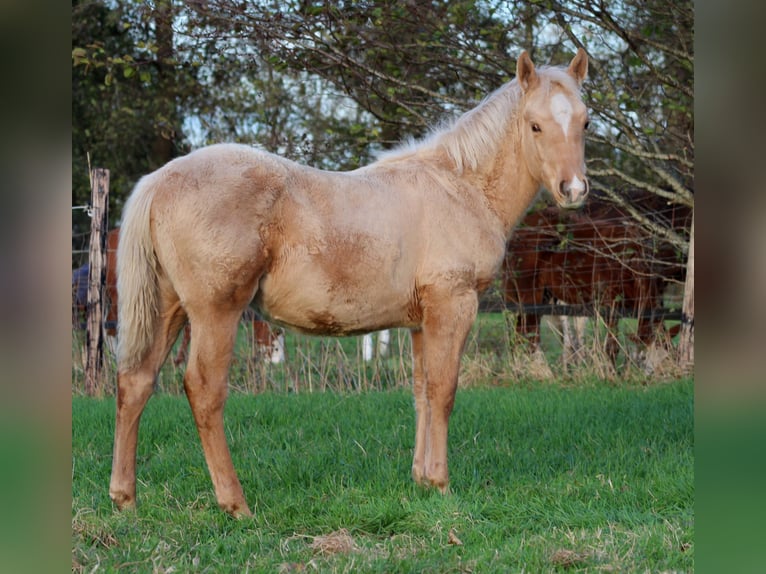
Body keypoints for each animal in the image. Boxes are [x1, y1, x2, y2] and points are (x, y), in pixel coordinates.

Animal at [110, 49, 589, 517]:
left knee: (136, 381)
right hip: (216, 312)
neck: (459, 187)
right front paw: (441, 483)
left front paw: (420, 480)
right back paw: (235, 503)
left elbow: (421, 391)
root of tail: (158, 181)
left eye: (585, 122)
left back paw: (125, 498)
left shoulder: (421, 321)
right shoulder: (453, 306)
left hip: (169, 307)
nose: (574, 189)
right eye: (534, 125)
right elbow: (443, 390)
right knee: (204, 390)